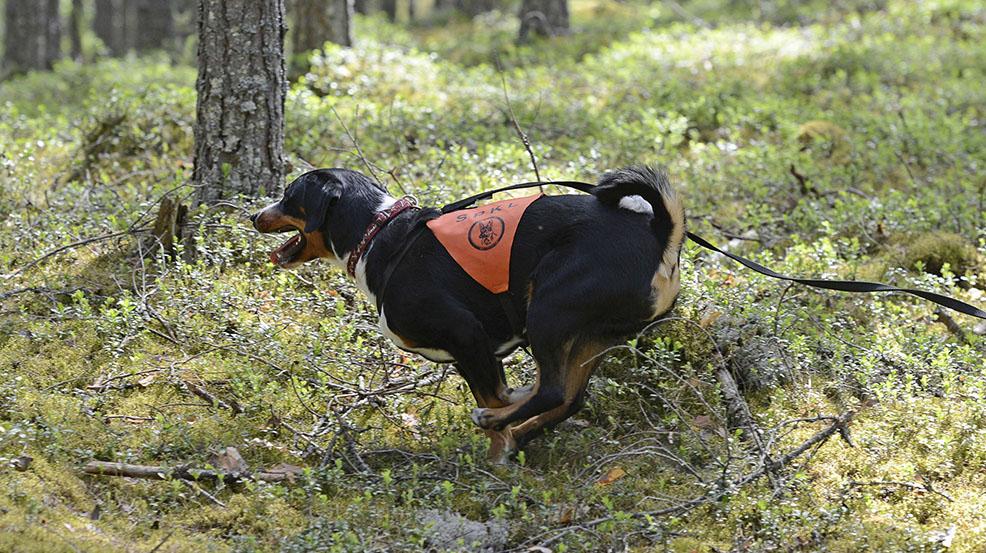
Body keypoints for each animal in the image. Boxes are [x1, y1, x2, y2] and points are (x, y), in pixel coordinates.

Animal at [252, 165, 684, 462]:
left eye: (289, 195)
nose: (254, 216)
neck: (378, 235)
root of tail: (659, 235)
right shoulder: (471, 353)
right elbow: (498, 391)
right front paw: (505, 441)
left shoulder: (466, 334)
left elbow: (494, 395)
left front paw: (497, 449)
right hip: (592, 336)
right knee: (569, 398)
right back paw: (521, 433)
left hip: (547, 310)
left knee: (553, 391)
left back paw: (498, 423)